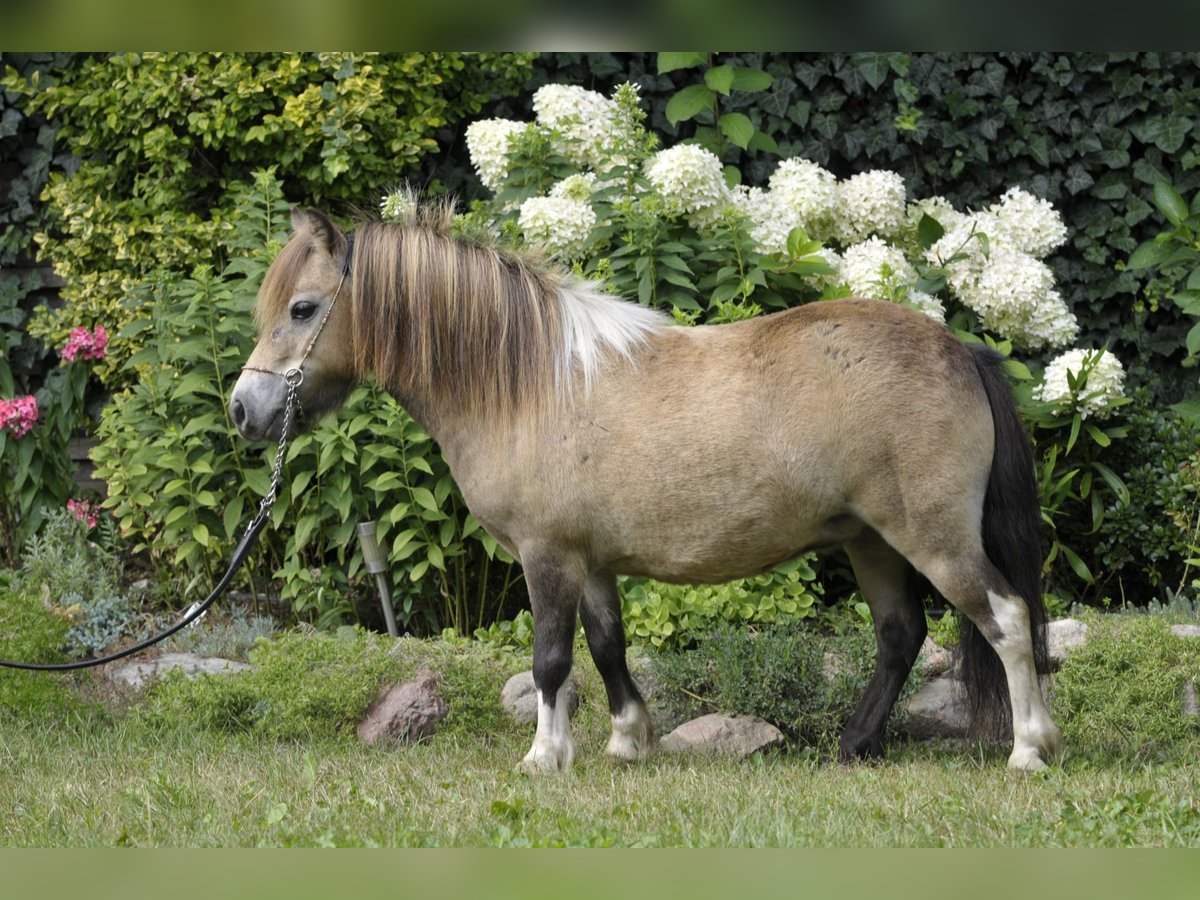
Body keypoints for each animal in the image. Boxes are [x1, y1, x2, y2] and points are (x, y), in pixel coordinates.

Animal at [229, 204, 1065, 777]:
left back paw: (1030, 749)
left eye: (302, 309)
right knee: (900, 636)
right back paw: (856, 744)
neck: (527, 385)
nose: (244, 411)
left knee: (1006, 617)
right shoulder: (591, 561)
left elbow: (551, 660)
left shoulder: (547, 557)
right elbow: (606, 647)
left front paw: (544, 758)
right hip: (871, 540)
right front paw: (627, 741)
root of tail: (959, 349)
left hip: (933, 536)